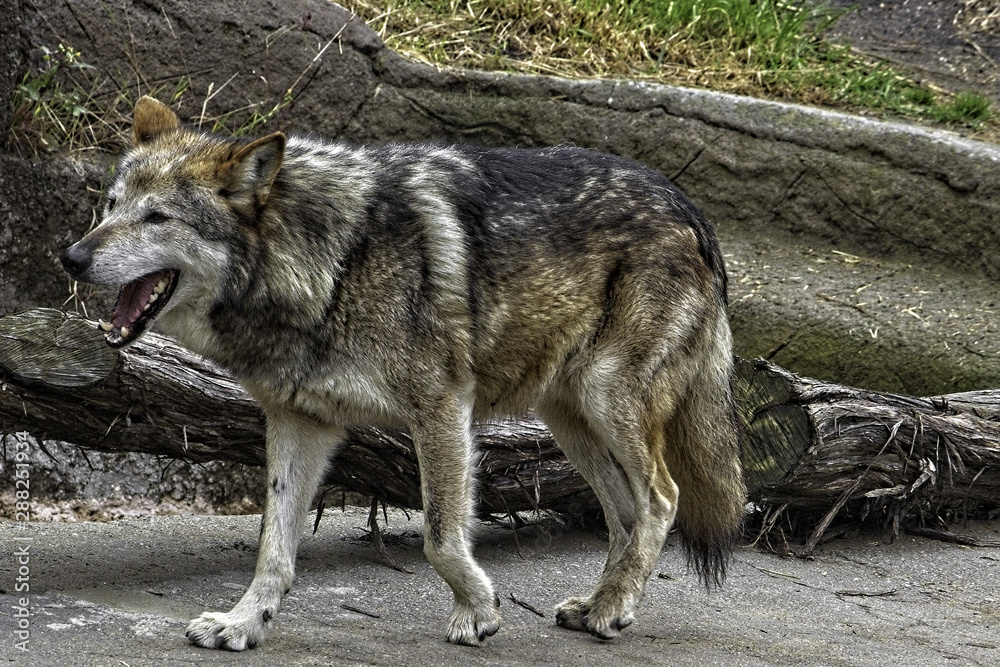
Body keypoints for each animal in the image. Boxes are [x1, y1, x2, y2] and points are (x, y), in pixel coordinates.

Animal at [61, 95, 745, 650]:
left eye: (157, 218)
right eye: (111, 207)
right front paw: (243, 623)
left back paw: (612, 610)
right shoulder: (298, 423)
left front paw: (479, 612)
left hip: (606, 399)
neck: (329, 263)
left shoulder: (440, 407)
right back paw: (602, 604)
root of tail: (688, 205)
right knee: (625, 513)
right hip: (569, 420)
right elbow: (273, 549)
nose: (71, 257)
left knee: (662, 498)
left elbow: (439, 536)